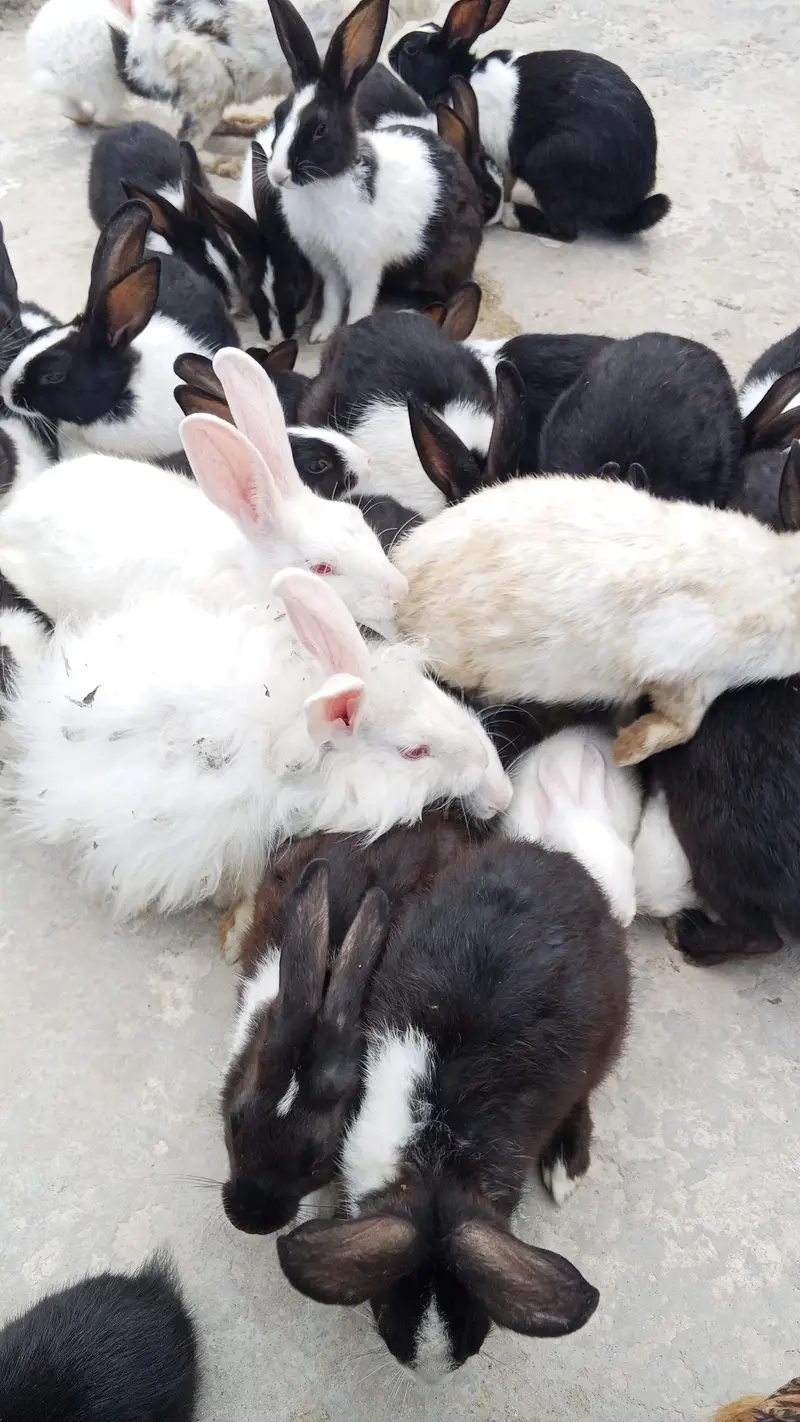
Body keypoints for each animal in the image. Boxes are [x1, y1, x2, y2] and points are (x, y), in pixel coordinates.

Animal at [265, 0, 484, 343]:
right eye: (279, 114)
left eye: (320, 130)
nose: (277, 175)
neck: (325, 184)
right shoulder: (328, 265)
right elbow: (332, 298)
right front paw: (321, 332)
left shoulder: (364, 265)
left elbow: (360, 301)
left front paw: (353, 328)